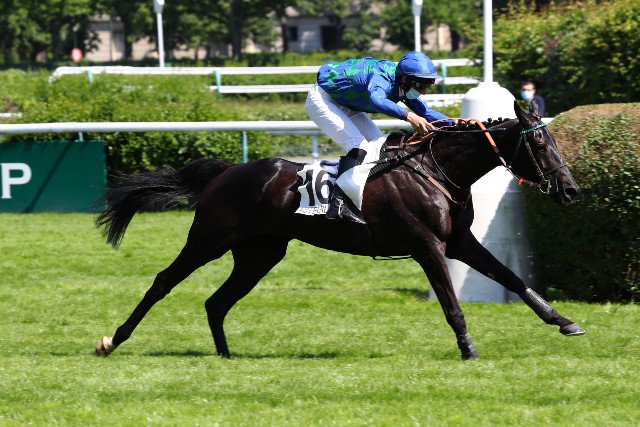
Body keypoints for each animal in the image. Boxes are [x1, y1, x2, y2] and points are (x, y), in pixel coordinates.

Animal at [95, 100, 584, 360]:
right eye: (541, 144)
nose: (571, 190)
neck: (435, 170)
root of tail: (227, 171)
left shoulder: (459, 242)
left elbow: (512, 278)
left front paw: (564, 322)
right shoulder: (427, 246)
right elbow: (451, 304)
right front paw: (468, 350)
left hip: (260, 253)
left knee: (217, 301)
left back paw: (226, 355)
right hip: (210, 239)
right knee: (163, 282)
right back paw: (112, 340)